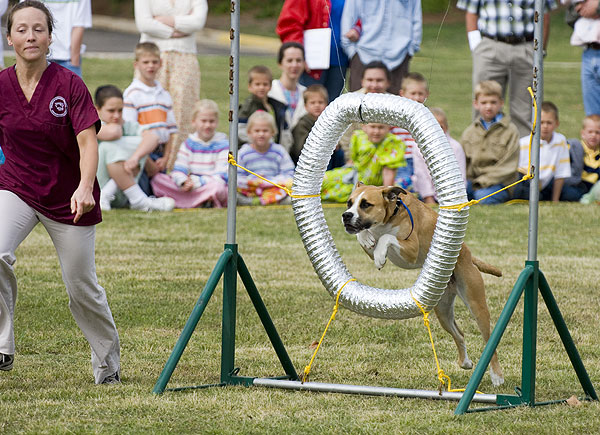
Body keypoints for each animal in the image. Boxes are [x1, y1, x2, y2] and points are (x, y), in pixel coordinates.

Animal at [344, 182, 504, 386]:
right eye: (349, 203)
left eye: (365, 204)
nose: (346, 215)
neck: (390, 214)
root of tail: (467, 254)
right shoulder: (370, 246)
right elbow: (367, 238)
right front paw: (365, 238)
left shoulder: (411, 249)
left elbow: (387, 238)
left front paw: (380, 255)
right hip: (443, 311)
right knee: (459, 334)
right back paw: (465, 362)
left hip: (476, 304)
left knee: (489, 340)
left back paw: (497, 376)